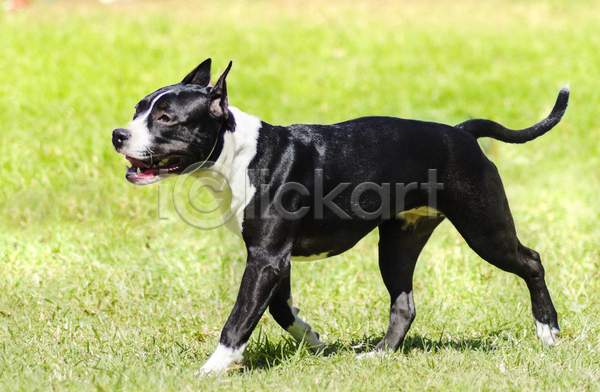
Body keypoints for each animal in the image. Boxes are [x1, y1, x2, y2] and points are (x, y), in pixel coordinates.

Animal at [111, 59, 568, 376]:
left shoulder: (266, 259)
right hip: (398, 243)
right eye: (137, 110)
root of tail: (461, 132)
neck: (240, 153)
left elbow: (239, 318)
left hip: (484, 229)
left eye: (166, 118)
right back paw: (378, 355)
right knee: (404, 305)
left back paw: (548, 331)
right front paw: (313, 341)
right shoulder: (273, 259)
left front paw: (211, 369)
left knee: (531, 261)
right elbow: (278, 309)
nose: (118, 134)